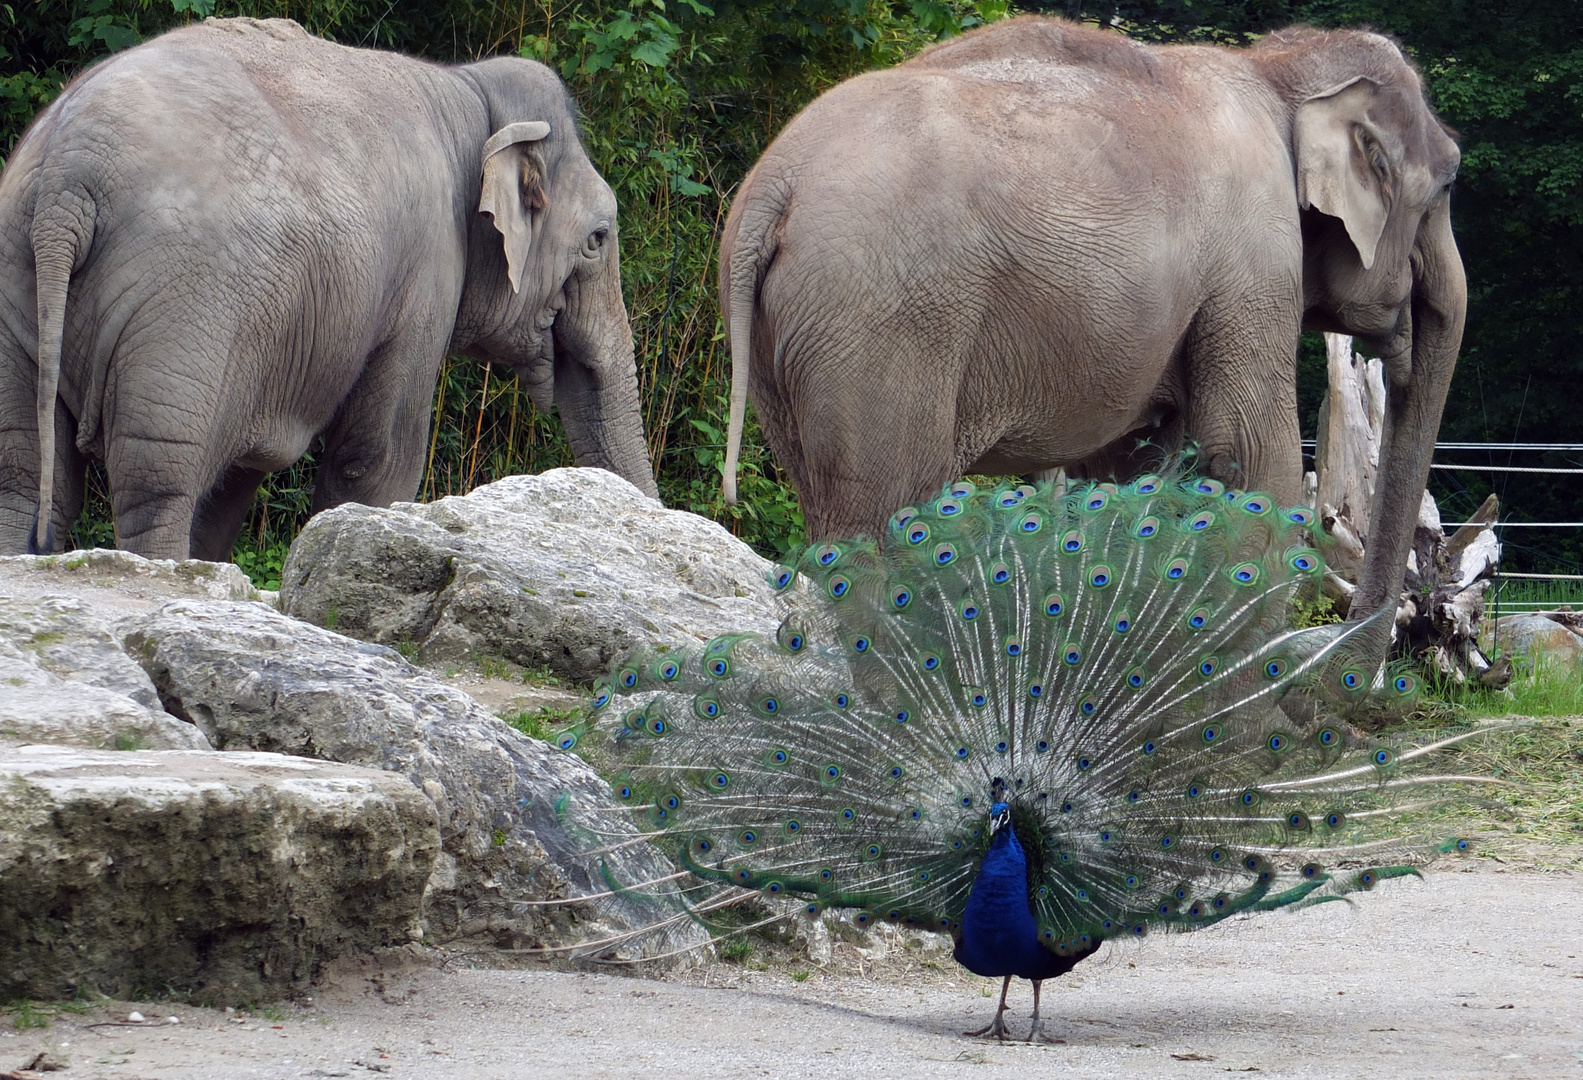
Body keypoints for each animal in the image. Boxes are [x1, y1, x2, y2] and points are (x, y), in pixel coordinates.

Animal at [0, 18, 655, 563]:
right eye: (597, 239)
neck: (470, 91)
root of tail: (68, 178)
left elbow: (235, 482)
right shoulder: (425, 272)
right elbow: (376, 459)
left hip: (20, 286)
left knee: (23, 472)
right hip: (182, 309)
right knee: (155, 478)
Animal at [718, 14, 1456, 623]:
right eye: (1448, 180)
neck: (1276, 67)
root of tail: (775, 183)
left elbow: (1128, 472)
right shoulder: (1255, 260)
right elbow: (1250, 462)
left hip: (791, 339)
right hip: (882, 319)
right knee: (884, 518)